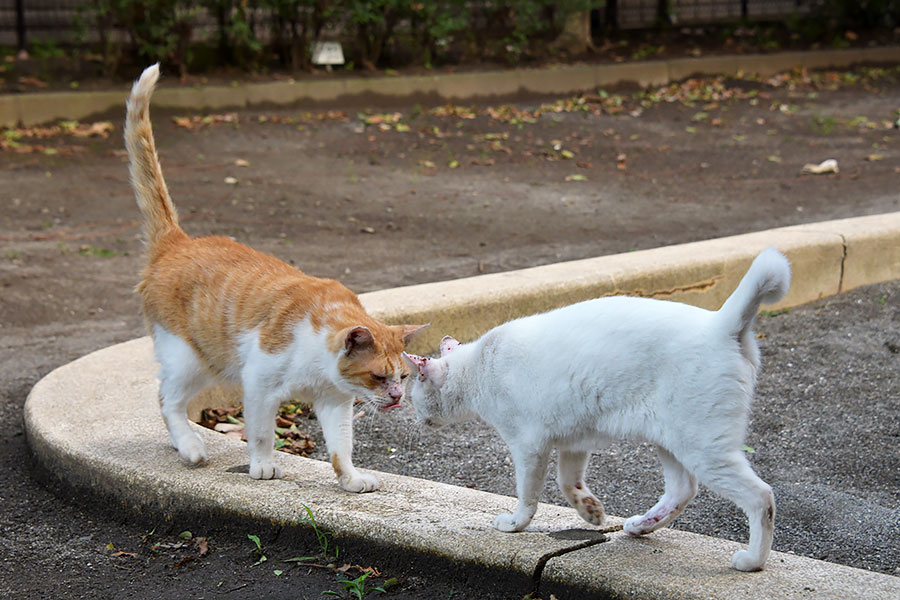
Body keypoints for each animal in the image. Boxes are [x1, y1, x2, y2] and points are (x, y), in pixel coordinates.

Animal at [124, 63, 428, 490]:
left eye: (403, 375)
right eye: (379, 377)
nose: (399, 397)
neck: (318, 361)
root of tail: (176, 241)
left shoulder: (335, 403)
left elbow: (341, 447)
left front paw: (350, 479)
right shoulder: (258, 385)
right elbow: (262, 433)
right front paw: (263, 465)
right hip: (191, 359)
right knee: (167, 399)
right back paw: (190, 446)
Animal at [404, 248, 792, 572]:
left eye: (413, 393)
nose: (417, 418)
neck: (479, 366)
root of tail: (722, 324)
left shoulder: (528, 446)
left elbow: (528, 495)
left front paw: (515, 524)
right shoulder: (573, 442)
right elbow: (567, 482)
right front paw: (590, 511)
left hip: (703, 448)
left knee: (761, 496)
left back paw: (752, 561)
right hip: (670, 442)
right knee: (683, 490)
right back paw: (641, 526)